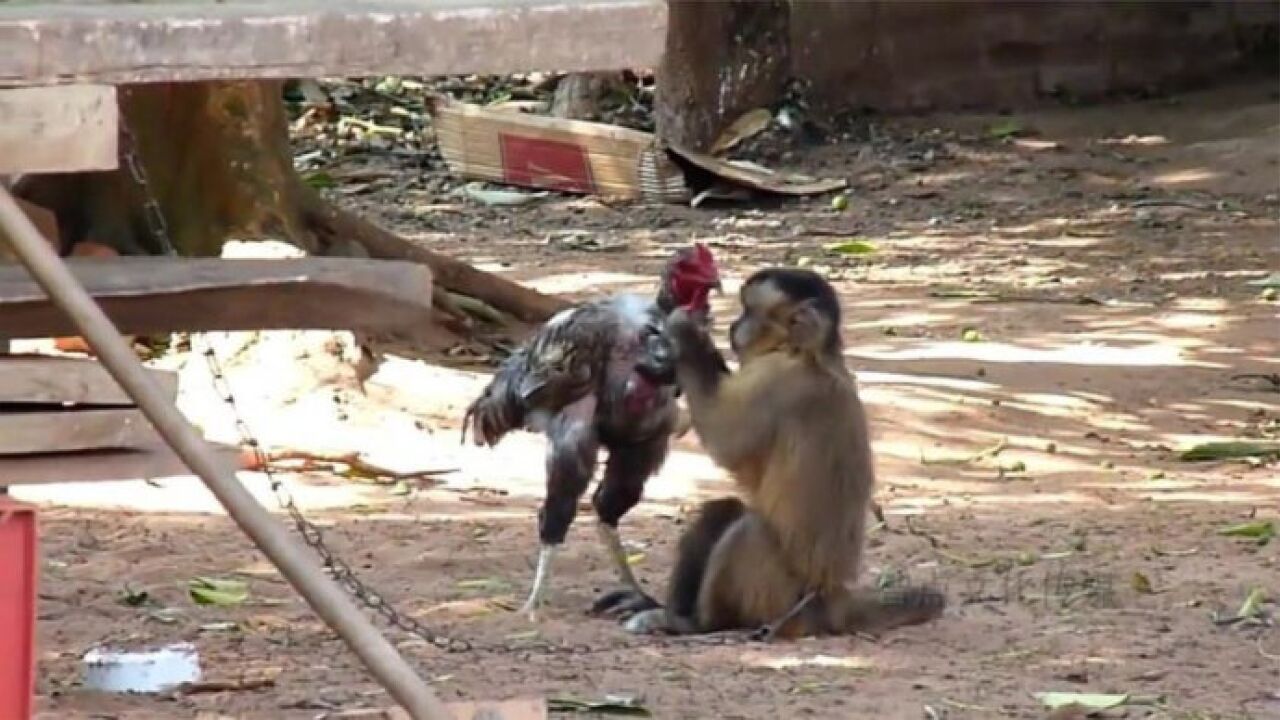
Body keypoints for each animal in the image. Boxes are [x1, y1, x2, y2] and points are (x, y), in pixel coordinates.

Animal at [601, 266, 952, 635]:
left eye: (748, 310)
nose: (734, 325)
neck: (804, 354)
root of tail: (835, 602)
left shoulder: (779, 381)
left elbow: (727, 442)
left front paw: (686, 331)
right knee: (724, 510)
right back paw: (669, 611)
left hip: (782, 601)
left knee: (748, 529)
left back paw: (695, 624)